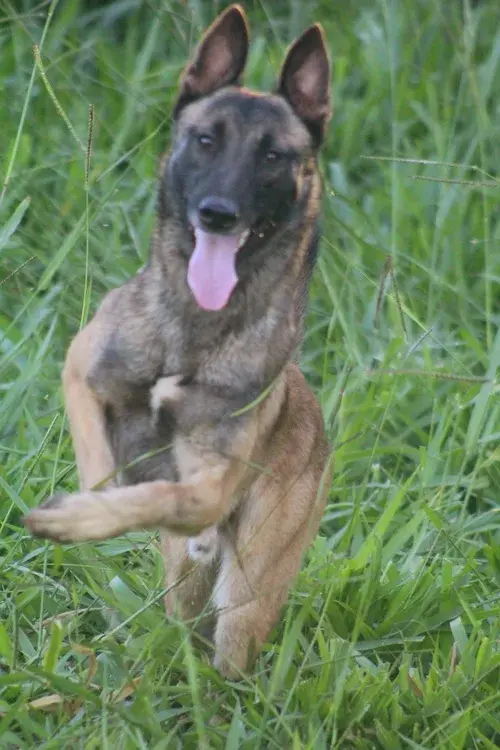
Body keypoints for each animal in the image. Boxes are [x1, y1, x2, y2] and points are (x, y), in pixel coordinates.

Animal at [25, 2, 334, 680]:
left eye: (274, 156)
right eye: (205, 140)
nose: (218, 212)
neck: (195, 327)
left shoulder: (209, 488)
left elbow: (166, 492)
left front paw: (82, 518)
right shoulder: (81, 372)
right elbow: (104, 468)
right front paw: (90, 503)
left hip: (248, 591)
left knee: (232, 656)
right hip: (186, 585)